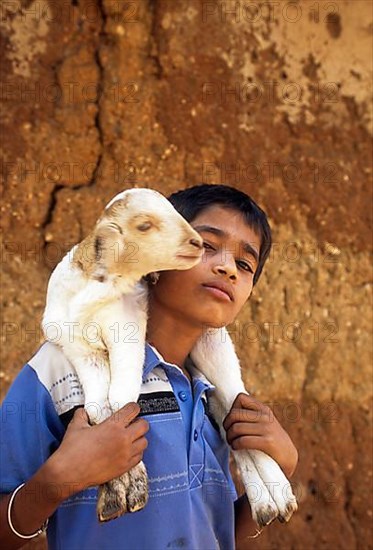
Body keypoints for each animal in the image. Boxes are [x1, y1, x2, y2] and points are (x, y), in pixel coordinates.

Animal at [41, 189, 296, 532]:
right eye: (144, 225)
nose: (197, 244)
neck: (90, 294)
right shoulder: (78, 348)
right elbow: (99, 407)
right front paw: (114, 491)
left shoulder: (126, 328)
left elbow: (120, 397)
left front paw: (133, 488)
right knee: (226, 415)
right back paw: (266, 506)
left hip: (216, 346)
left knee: (236, 403)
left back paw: (278, 496)